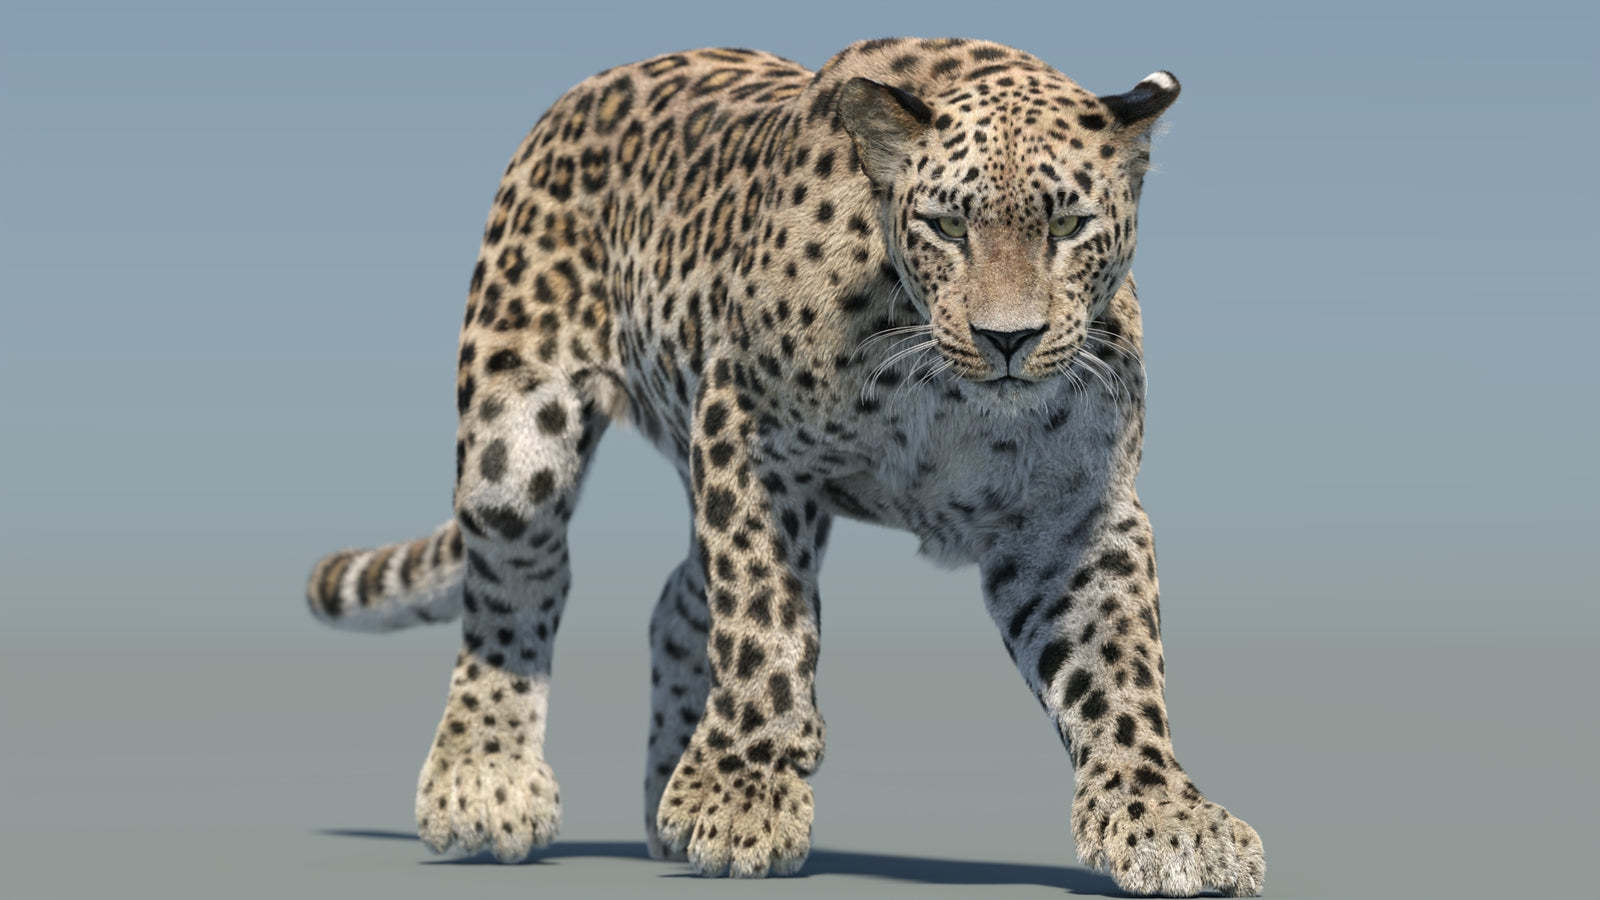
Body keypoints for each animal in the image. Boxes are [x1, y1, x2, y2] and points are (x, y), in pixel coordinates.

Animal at [304, 37, 1264, 896]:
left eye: (1068, 226)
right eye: (948, 226)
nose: (1008, 339)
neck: (939, 389)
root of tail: (588, 86)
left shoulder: (1071, 510)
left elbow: (1115, 663)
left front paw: (1164, 818)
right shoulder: (750, 435)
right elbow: (762, 620)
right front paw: (739, 798)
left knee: (677, 599)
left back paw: (661, 803)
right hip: (518, 433)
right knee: (517, 583)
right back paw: (483, 782)